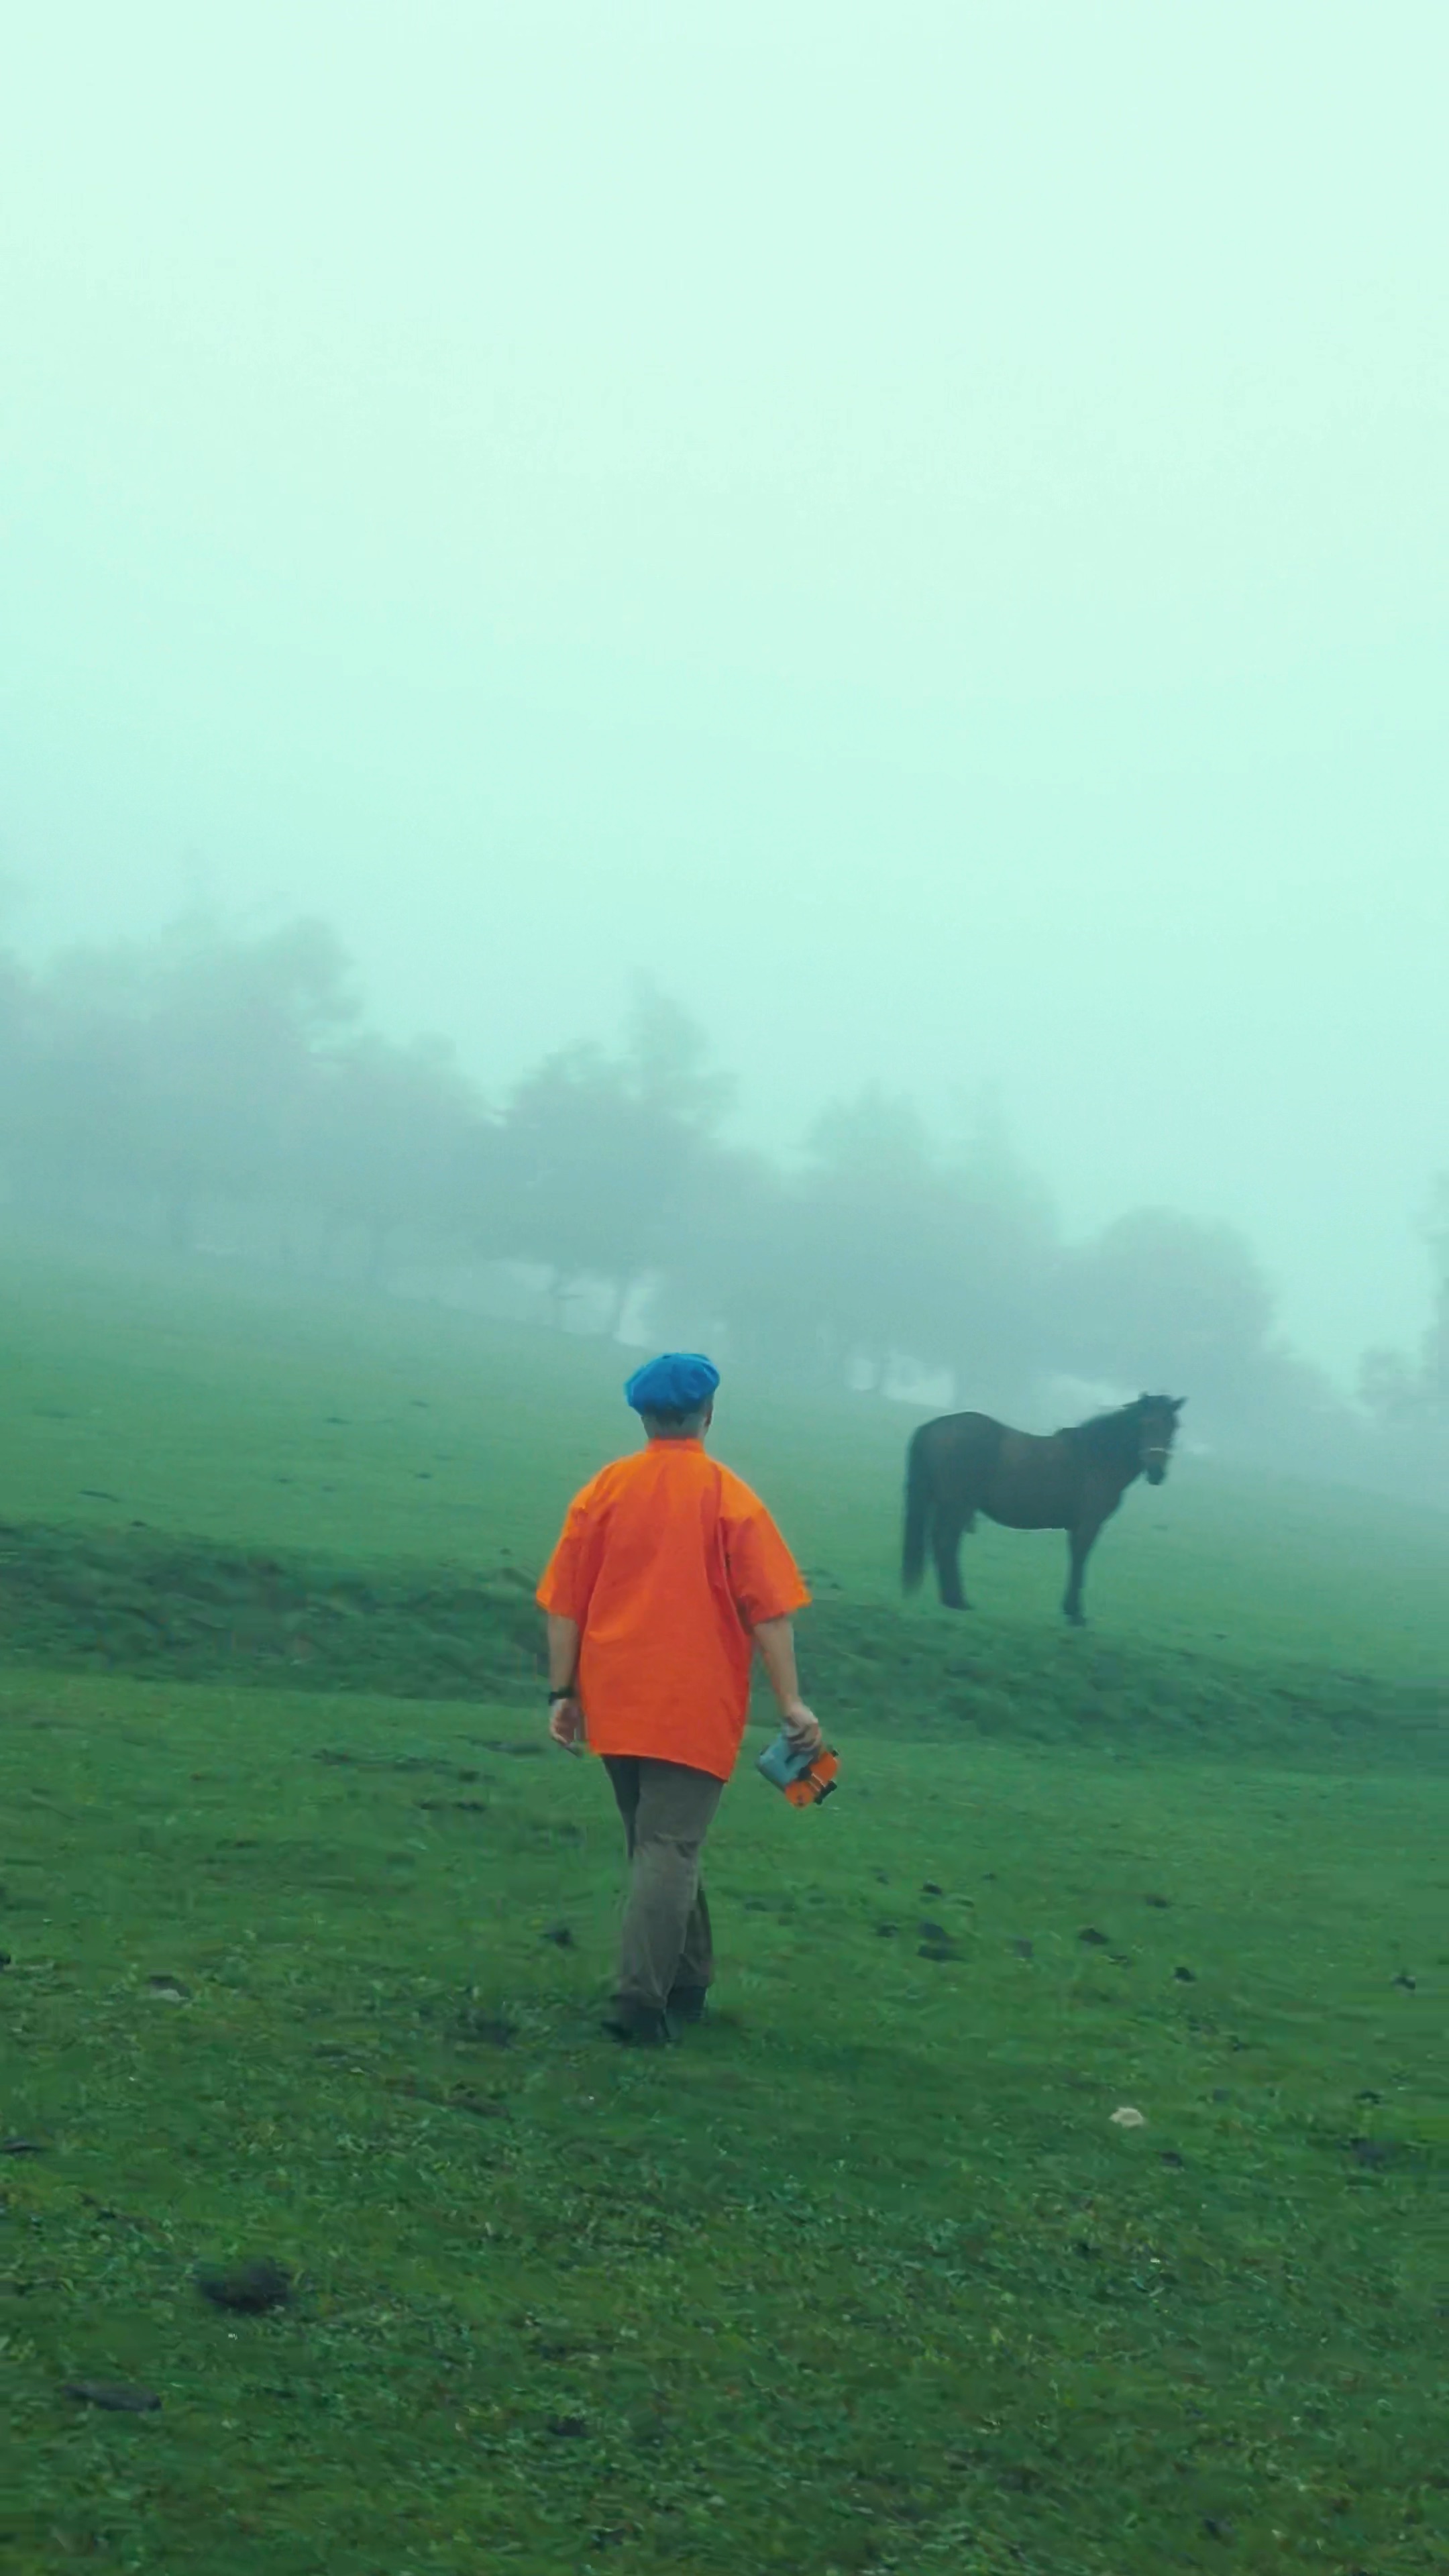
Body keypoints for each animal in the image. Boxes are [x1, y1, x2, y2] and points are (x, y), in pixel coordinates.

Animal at [902, 1401, 1185, 1617]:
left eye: (1173, 1427)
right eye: (1146, 1423)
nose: (1157, 1472)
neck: (1096, 1459)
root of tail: (933, 1427)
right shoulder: (1088, 1525)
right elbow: (1080, 1560)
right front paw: (1074, 1612)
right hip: (957, 1506)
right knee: (946, 1543)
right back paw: (956, 1600)